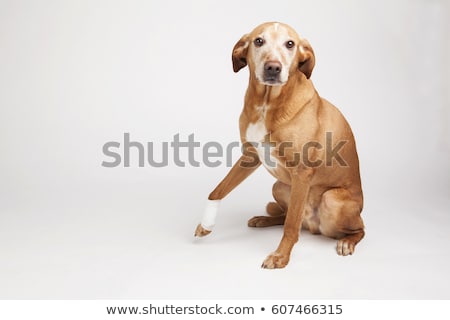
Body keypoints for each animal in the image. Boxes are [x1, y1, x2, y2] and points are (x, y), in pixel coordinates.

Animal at [195, 21, 364, 268]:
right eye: (258, 41)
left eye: (290, 44)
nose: (273, 68)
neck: (267, 103)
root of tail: (313, 226)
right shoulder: (250, 156)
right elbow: (218, 190)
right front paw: (206, 224)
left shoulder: (302, 173)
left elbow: (291, 225)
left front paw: (281, 256)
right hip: (281, 186)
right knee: (288, 216)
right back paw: (264, 219)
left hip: (331, 200)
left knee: (356, 228)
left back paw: (347, 241)